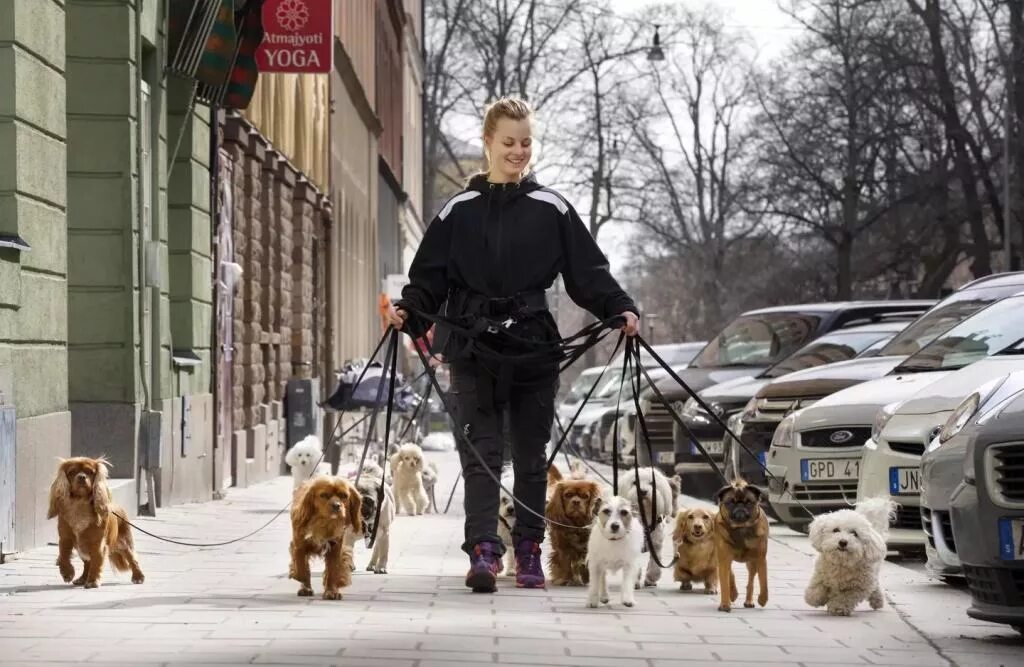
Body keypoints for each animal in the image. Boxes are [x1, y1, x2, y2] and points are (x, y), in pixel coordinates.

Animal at [47, 456, 145, 586]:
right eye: (72, 472)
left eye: (90, 472)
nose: (82, 477)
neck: (79, 504)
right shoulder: (65, 539)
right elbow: (63, 555)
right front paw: (67, 573)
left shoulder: (97, 543)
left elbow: (96, 562)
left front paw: (93, 581)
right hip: (82, 548)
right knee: (87, 563)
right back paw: (82, 579)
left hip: (123, 542)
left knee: (132, 558)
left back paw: (138, 576)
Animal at [712, 483, 770, 614]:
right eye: (730, 502)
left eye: (748, 502)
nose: (740, 506)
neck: (741, 528)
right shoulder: (724, 559)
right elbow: (725, 583)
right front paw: (725, 604)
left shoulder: (761, 559)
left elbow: (764, 582)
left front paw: (763, 599)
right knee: (730, 576)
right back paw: (733, 594)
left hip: (752, 563)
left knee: (751, 581)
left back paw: (749, 601)